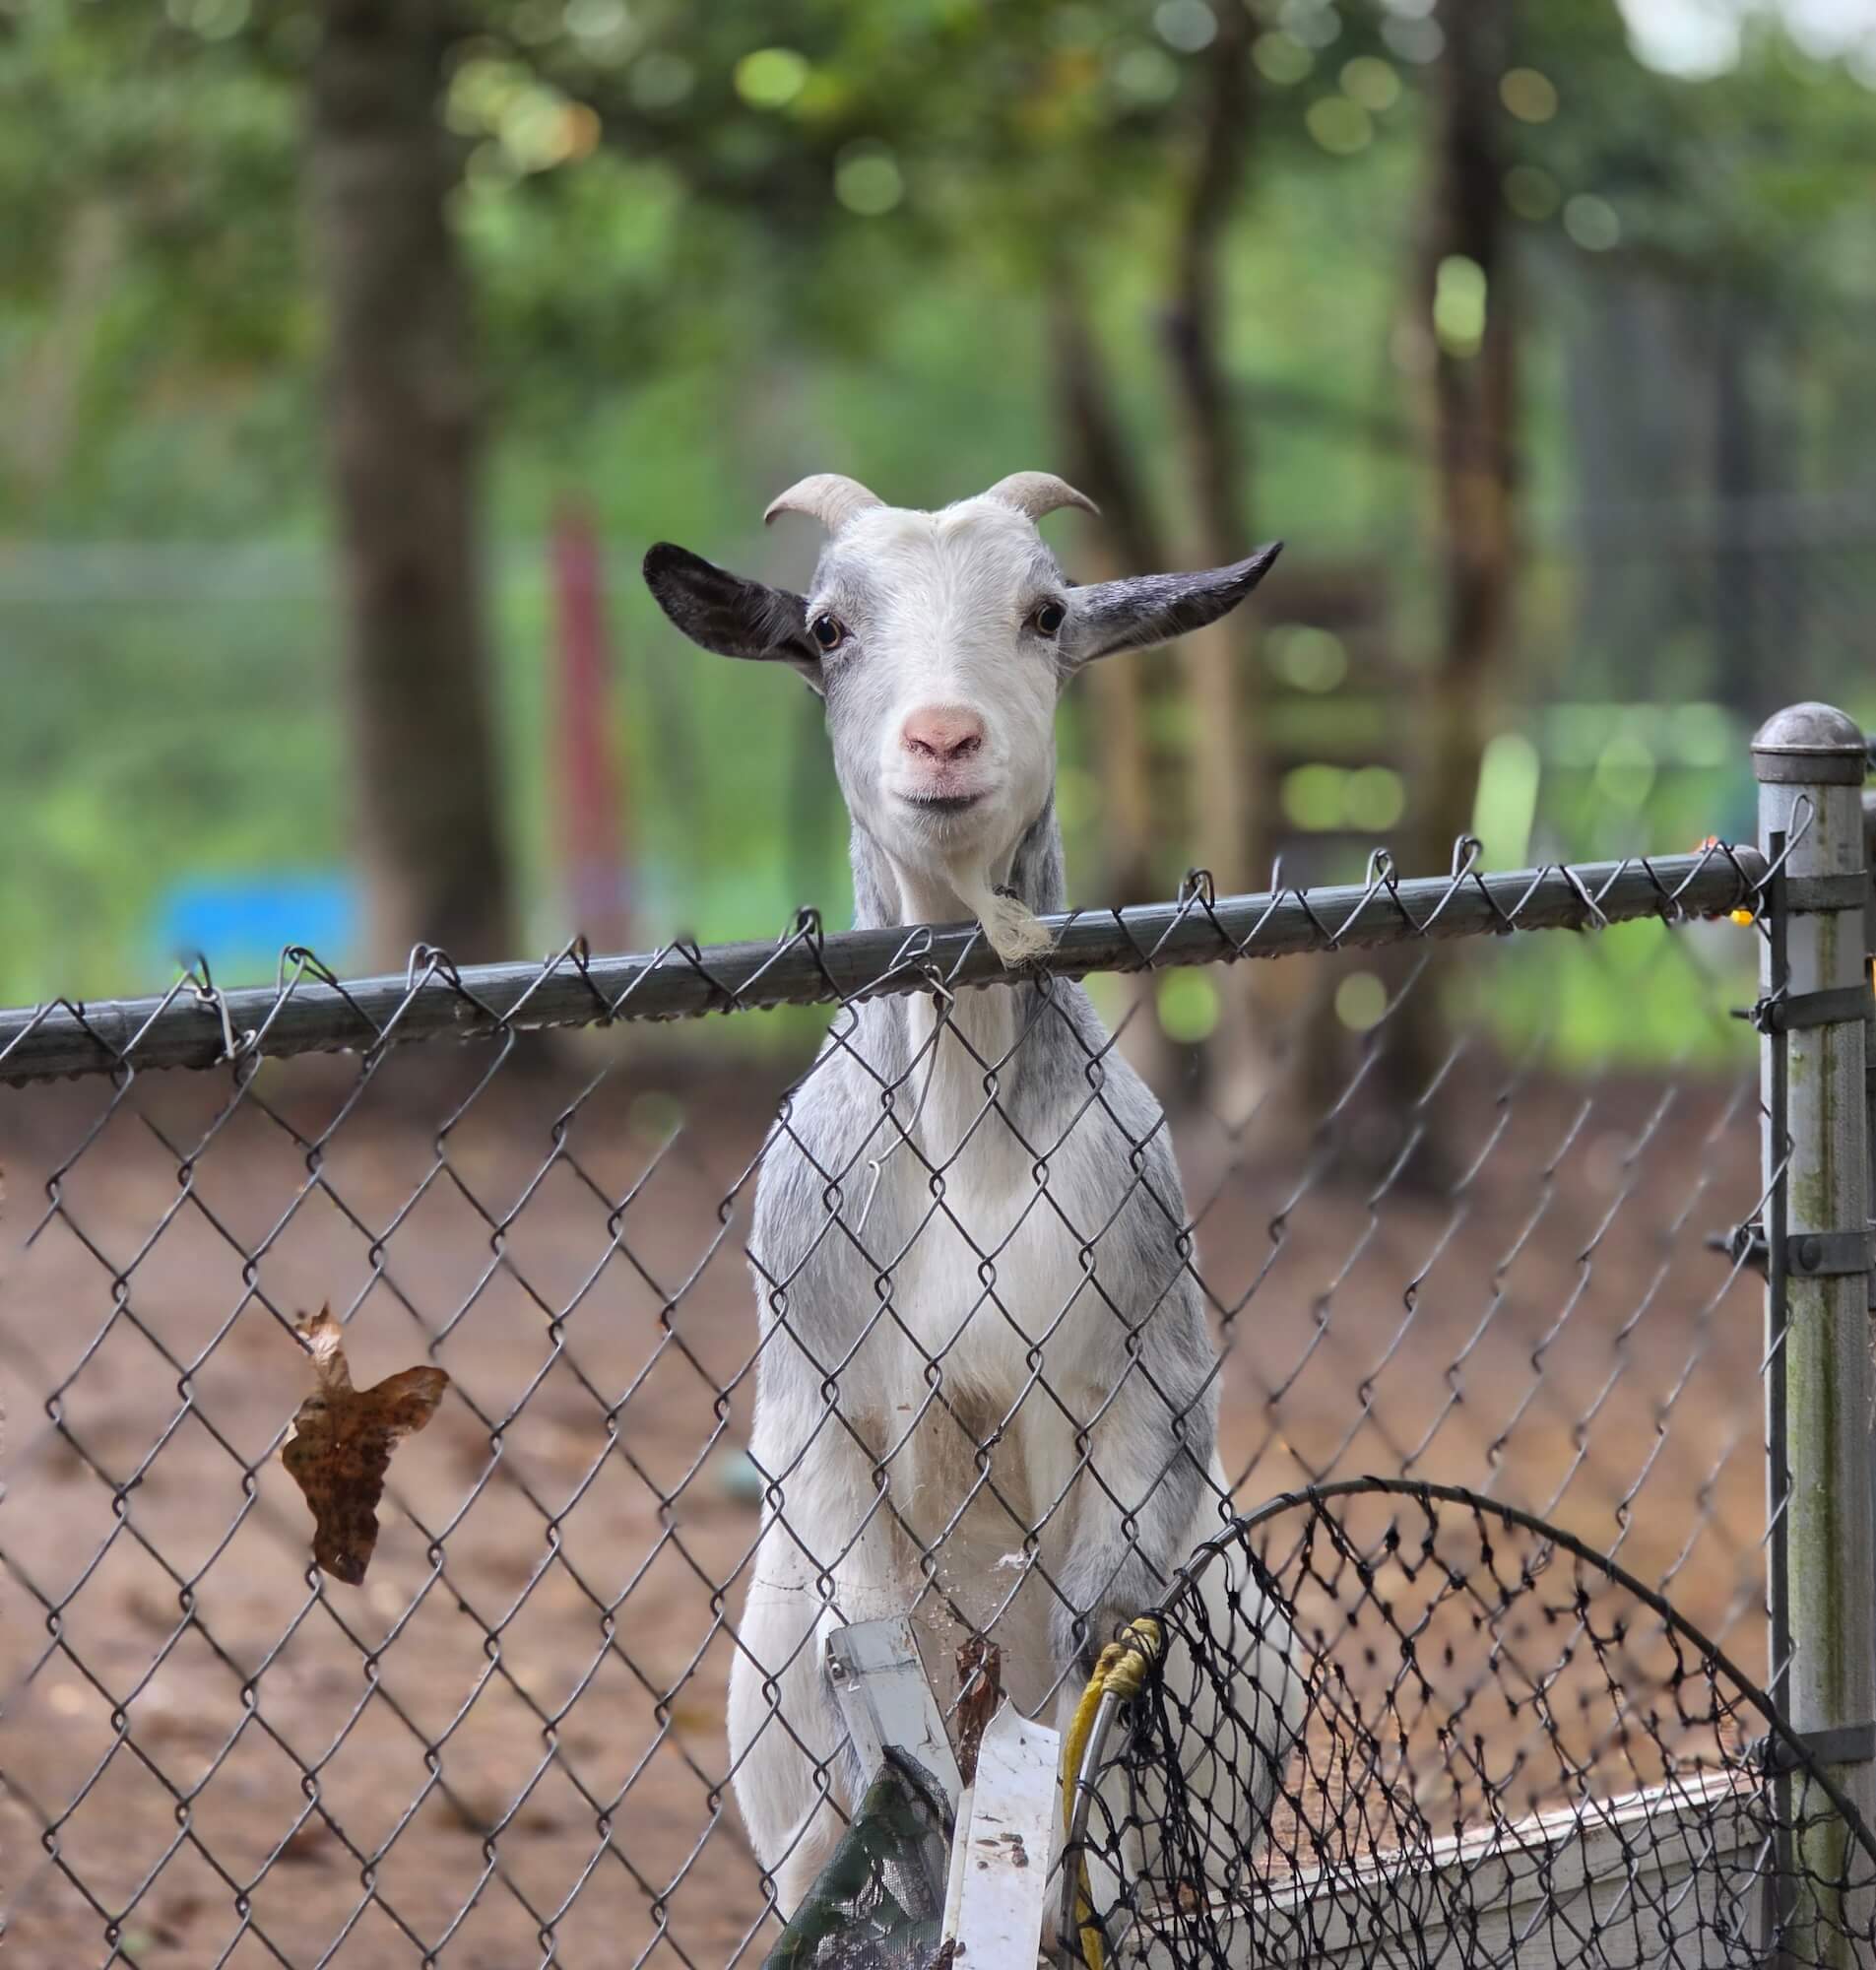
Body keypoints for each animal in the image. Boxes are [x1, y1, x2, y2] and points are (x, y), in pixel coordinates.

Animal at [645, 471, 1302, 1932]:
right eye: (830, 627)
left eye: (1046, 611)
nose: (942, 739)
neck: (970, 1143)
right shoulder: (814, 1394)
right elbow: (874, 1626)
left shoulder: (1150, 1364)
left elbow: (1091, 1639)